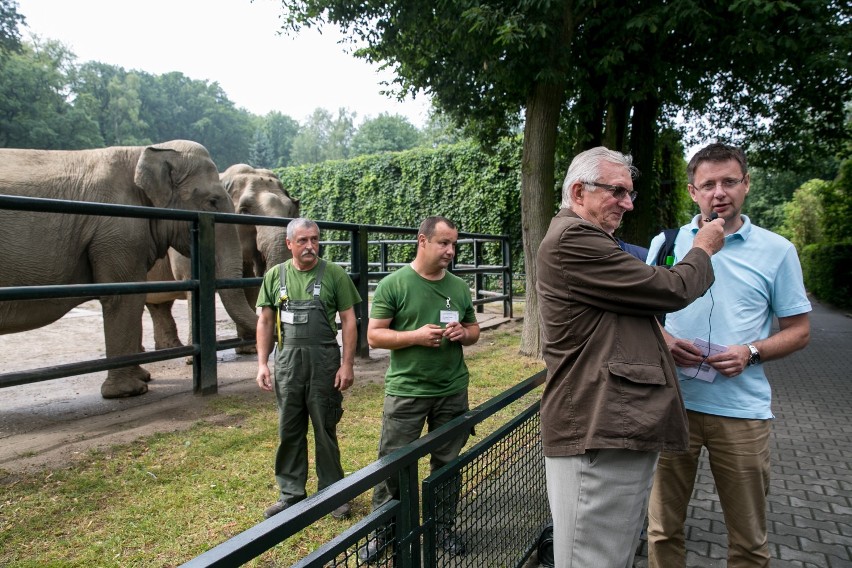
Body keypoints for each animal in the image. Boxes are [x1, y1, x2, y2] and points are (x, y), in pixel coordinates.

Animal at [0, 141, 238, 400]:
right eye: (213, 201)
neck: (144, 152)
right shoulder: (119, 232)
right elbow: (125, 296)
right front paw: (131, 390)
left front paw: (142, 379)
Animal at [147, 164, 302, 348]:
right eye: (244, 211)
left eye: (290, 211)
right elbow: (192, 281)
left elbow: (247, 283)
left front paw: (248, 348)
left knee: (158, 305)